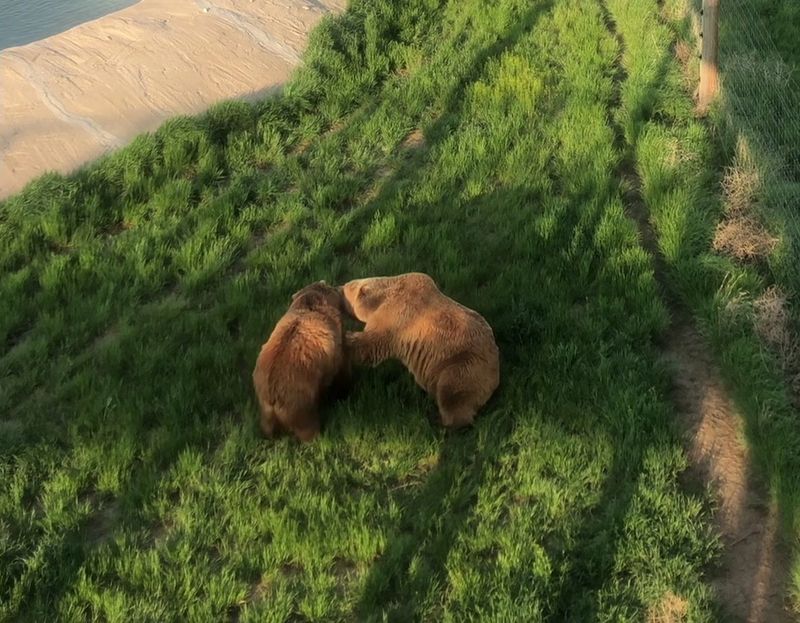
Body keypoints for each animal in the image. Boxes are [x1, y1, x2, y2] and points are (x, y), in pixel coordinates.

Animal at [252, 280, 350, 442]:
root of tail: (272, 397)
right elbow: (341, 369)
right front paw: (343, 392)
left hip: (264, 405)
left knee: (267, 427)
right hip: (300, 401)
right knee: (307, 426)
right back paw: (319, 436)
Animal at [340, 272, 499, 428]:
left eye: (345, 289)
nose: (338, 287)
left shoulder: (399, 314)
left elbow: (372, 345)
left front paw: (346, 339)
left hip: (465, 363)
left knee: (452, 391)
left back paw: (440, 420)